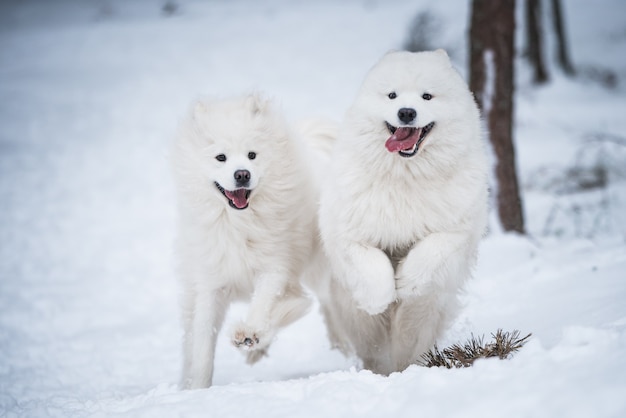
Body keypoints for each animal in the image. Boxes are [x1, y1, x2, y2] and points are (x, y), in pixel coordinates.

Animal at [168, 94, 330, 388]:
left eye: (252, 155)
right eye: (221, 157)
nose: (242, 174)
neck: (238, 223)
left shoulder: (274, 266)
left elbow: (264, 302)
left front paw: (250, 332)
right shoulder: (210, 284)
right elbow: (202, 343)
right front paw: (197, 388)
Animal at [316, 50, 488, 374]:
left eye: (427, 96)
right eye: (392, 95)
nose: (406, 112)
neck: (405, 176)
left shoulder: (456, 229)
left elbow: (431, 249)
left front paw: (407, 282)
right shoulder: (349, 234)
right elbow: (372, 265)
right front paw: (380, 296)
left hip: (424, 313)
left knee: (409, 343)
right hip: (356, 318)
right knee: (375, 349)